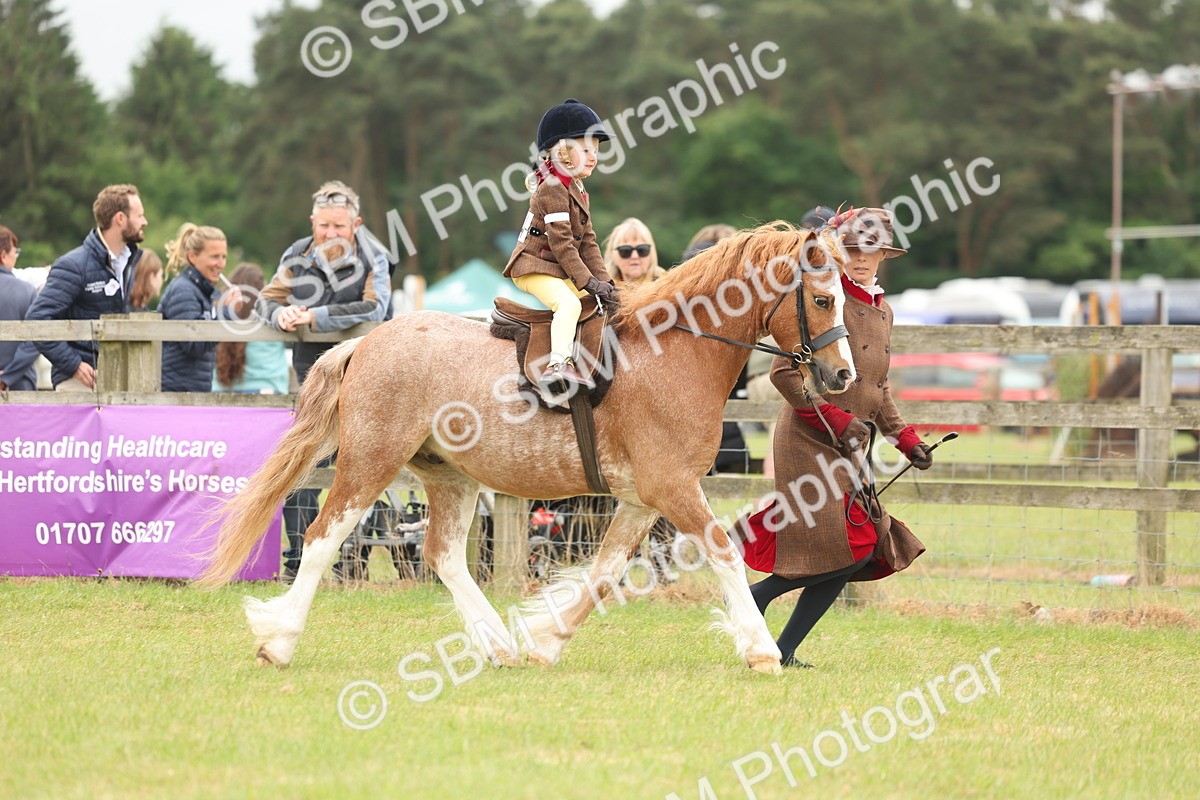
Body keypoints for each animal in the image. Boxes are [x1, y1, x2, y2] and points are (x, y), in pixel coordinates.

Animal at [197, 221, 856, 674]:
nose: (843, 375)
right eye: (824, 300)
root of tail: (366, 342)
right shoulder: (672, 487)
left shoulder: (641, 500)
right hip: (371, 463)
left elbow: (603, 573)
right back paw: (278, 642)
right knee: (322, 538)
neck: (675, 350)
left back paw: (500, 645)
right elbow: (722, 552)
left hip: (450, 478)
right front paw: (762, 650)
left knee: (443, 555)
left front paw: (545, 641)